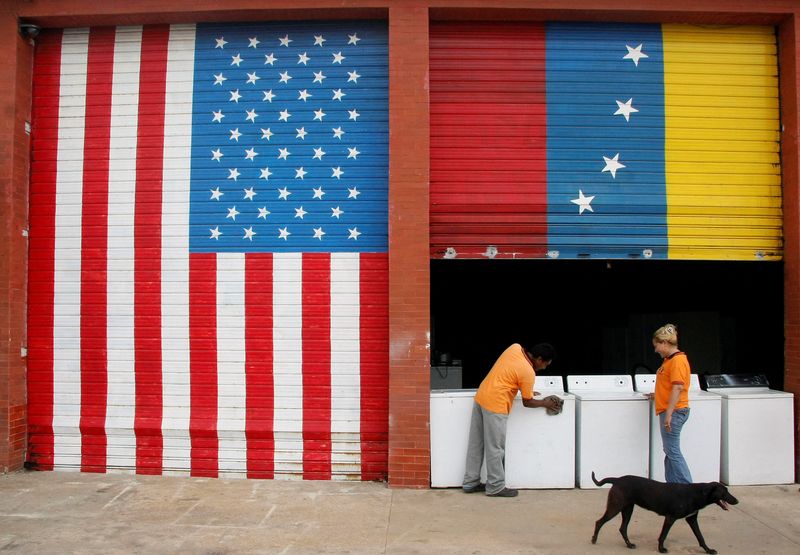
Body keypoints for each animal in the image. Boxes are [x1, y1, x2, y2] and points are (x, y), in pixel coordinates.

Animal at [588, 472, 736, 552]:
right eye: (724, 492)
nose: (737, 501)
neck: (696, 494)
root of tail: (617, 479)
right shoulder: (670, 518)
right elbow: (663, 535)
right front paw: (661, 549)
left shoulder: (692, 519)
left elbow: (700, 537)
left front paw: (708, 550)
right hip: (615, 507)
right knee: (599, 522)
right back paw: (594, 539)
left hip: (628, 509)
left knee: (622, 528)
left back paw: (629, 545)